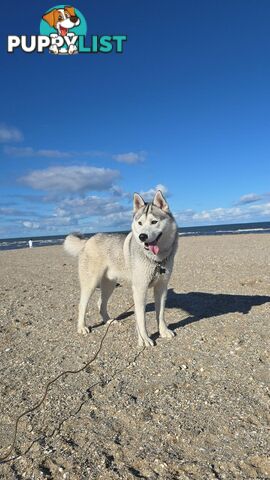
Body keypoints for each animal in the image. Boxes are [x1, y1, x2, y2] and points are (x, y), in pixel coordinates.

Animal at [64, 190, 178, 344]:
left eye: (154, 222)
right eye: (140, 223)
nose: (142, 236)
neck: (156, 260)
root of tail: (88, 240)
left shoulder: (161, 287)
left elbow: (160, 314)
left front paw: (163, 331)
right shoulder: (140, 289)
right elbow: (141, 318)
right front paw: (144, 339)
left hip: (109, 284)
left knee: (101, 303)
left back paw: (108, 320)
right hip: (91, 283)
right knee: (82, 304)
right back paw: (82, 327)